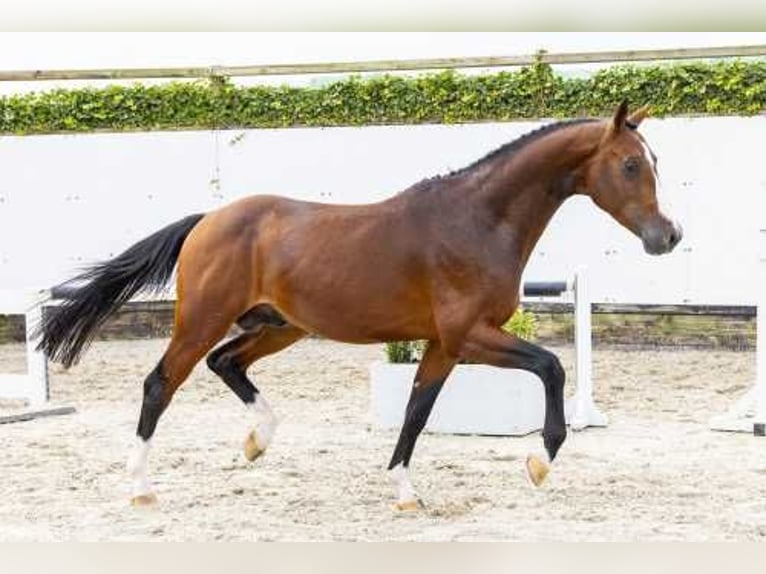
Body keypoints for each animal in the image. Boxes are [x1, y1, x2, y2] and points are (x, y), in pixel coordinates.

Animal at [37, 101, 684, 510]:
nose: (668, 236)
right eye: (631, 164)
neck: (477, 220)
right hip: (202, 320)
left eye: (655, 162)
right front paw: (541, 460)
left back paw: (257, 440)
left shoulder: (444, 345)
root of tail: (210, 219)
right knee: (161, 383)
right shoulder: (470, 335)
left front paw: (405, 493)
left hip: (281, 326)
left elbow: (418, 412)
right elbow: (550, 367)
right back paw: (141, 487)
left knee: (228, 363)